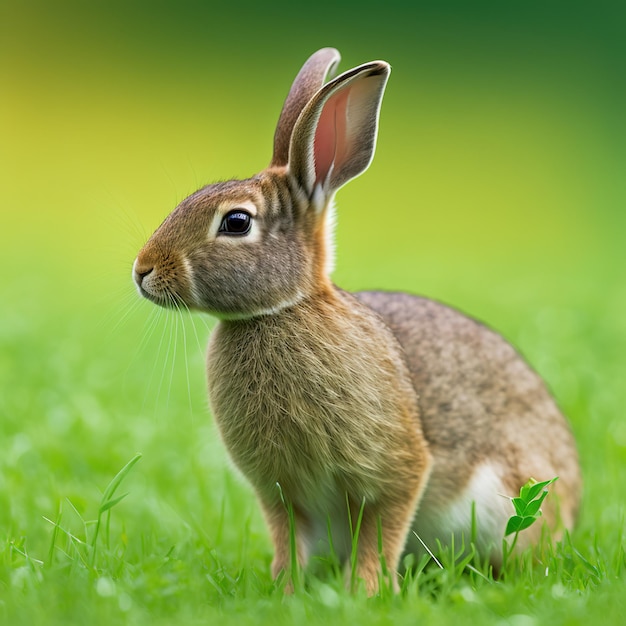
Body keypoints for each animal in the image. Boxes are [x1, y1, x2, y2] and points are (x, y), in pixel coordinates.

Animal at [132, 47, 580, 588]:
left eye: (236, 222)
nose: (142, 271)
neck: (281, 311)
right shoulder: (281, 492)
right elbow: (287, 540)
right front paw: (285, 589)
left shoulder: (396, 470)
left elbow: (381, 532)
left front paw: (364, 591)